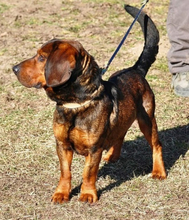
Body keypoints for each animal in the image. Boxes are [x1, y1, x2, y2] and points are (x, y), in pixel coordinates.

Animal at [12, 5, 166, 204]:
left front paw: (87, 194)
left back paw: (159, 171)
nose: (14, 68)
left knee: (156, 145)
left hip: (147, 119)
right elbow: (65, 172)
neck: (74, 105)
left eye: (41, 57)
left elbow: (88, 172)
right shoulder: (62, 145)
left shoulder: (94, 149)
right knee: (120, 133)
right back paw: (112, 156)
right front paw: (61, 193)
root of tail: (136, 69)